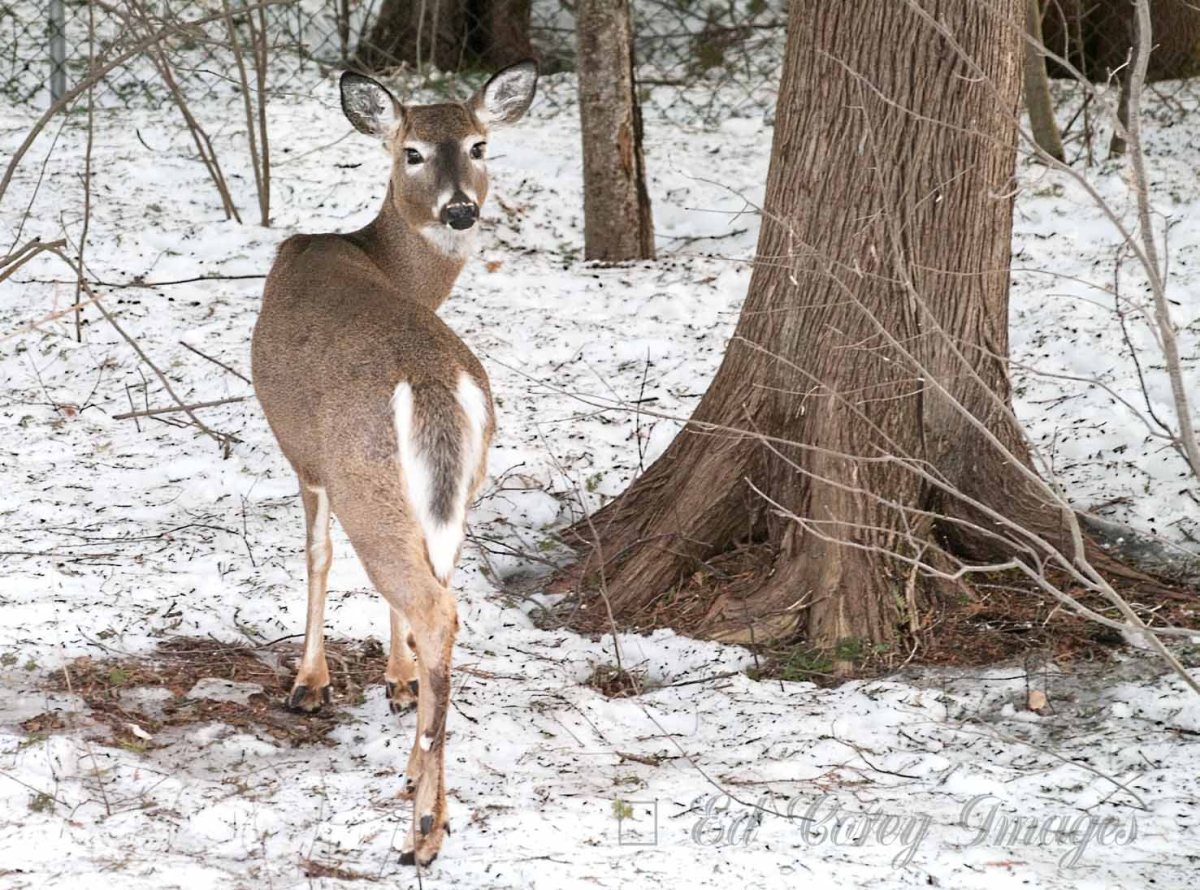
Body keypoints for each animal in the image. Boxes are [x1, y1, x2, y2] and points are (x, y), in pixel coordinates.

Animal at [251, 60, 538, 867]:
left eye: (478, 144)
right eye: (413, 152)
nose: (462, 210)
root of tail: (435, 384)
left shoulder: (305, 454)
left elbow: (316, 556)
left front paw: (310, 683)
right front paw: (400, 680)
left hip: (362, 475)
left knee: (434, 604)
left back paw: (423, 830)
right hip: (458, 484)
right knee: (440, 594)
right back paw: (419, 775)